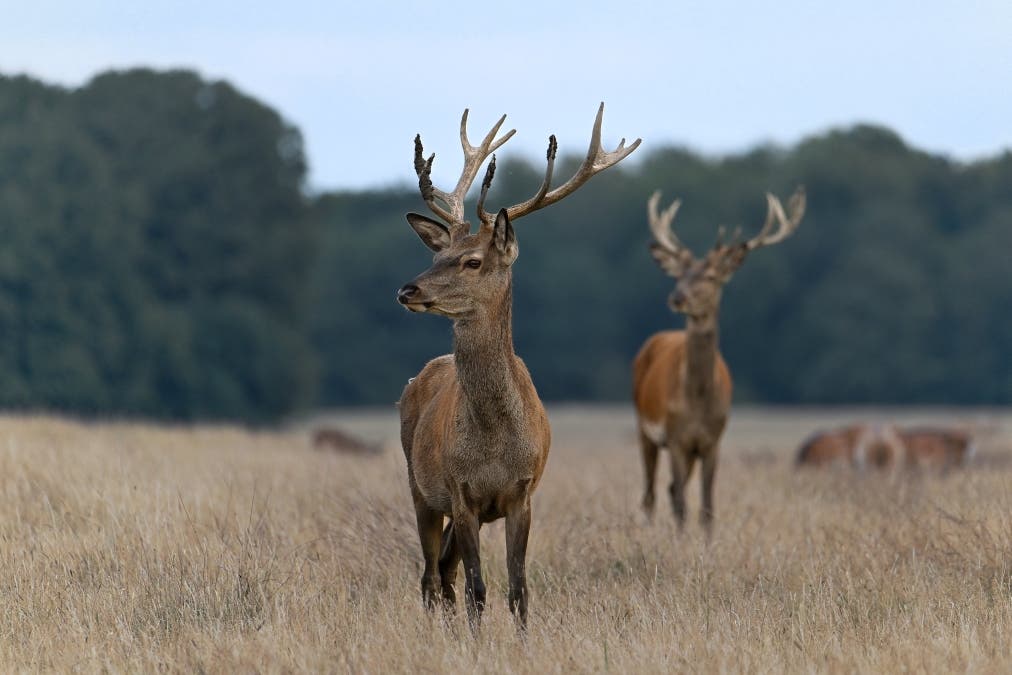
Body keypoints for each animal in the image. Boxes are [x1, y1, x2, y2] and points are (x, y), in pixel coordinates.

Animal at [396, 104, 640, 629]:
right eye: (438, 254)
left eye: (470, 261)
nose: (407, 290)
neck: (493, 445)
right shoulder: (460, 492)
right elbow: (478, 589)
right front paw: (475, 638)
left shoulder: (522, 493)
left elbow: (517, 588)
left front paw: (522, 637)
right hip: (418, 485)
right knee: (431, 576)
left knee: (442, 572)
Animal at [633, 187, 805, 534]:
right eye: (680, 274)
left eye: (712, 277)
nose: (677, 297)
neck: (698, 402)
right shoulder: (676, 438)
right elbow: (682, 504)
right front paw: (681, 542)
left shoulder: (712, 441)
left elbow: (707, 505)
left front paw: (706, 541)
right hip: (644, 427)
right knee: (650, 495)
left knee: (669, 490)